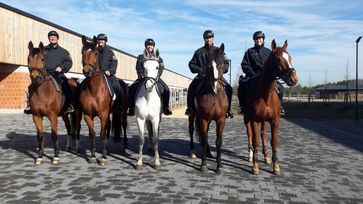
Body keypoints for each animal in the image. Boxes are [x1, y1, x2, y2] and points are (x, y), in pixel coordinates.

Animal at [78, 35, 126, 166]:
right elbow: (93, 134)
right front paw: (93, 156)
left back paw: (124, 147)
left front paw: (103, 158)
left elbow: (102, 134)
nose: (87, 71)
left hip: (122, 112)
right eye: (83, 52)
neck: (93, 90)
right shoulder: (88, 115)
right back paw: (107, 149)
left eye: (95, 53)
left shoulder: (103, 114)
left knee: (123, 126)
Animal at [189, 43, 229, 174]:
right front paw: (203, 165)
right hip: (193, 116)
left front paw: (219, 166)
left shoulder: (221, 119)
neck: (213, 96)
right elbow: (203, 140)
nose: (216, 87)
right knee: (192, 131)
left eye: (222, 64)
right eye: (208, 66)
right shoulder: (203, 119)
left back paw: (209, 153)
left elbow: (218, 141)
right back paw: (192, 152)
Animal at [245, 39, 298, 175]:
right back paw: (250, 156)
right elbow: (255, 141)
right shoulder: (254, 120)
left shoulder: (275, 120)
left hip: (264, 121)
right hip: (247, 120)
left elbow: (273, 142)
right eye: (279, 59)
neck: (265, 94)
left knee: (263, 135)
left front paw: (276, 166)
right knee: (250, 135)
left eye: (290, 58)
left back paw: (266, 156)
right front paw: (255, 166)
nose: (294, 79)